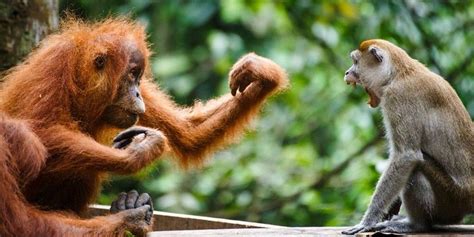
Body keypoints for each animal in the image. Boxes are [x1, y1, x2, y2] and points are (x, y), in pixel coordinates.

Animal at [342, 39, 472, 233]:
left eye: (355, 61)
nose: (347, 72)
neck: (399, 72)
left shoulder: (397, 97)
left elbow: (406, 156)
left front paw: (367, 222)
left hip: (452, 200)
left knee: (417, 169)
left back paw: (416, 225)